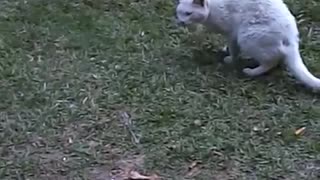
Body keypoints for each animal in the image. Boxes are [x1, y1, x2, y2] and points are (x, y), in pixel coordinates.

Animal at [175, 0, 320, 90]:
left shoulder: (232, 33)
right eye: (178, 13)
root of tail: (292, 38)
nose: (181, 22)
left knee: (270, 62)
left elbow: (234, 50)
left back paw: (250, 72)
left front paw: (230, 59)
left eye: (188, 13)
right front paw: (225, 51)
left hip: (246, 37)